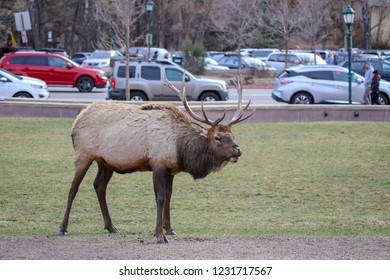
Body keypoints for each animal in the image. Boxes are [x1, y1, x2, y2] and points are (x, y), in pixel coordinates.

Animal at [58, 75, 253, 243]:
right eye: (218, 138)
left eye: (233, 135)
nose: (237, 150)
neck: (181, 149)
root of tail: (75, 124)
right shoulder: (157, 163)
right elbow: (159, 197)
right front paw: (160, 235)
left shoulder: (171, 170)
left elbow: (168, 196)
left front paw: (170, 229)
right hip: (83, 155)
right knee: (73, 188)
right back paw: (63, 228)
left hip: (106, 162)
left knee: (99, 186)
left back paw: (111, 227)